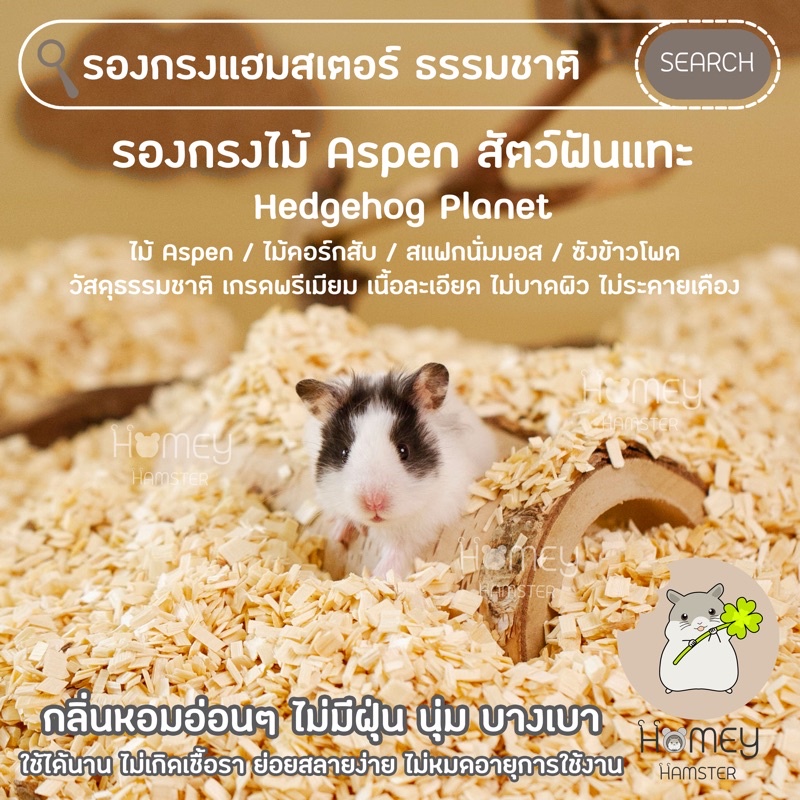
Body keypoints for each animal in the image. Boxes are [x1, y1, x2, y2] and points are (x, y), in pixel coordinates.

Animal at [296, 362, 497, 579]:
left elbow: (401, 546)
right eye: (344, 452)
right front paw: (339, 534)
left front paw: (379, 577)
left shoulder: (430, 516)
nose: (373, 503)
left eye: (404, 450)